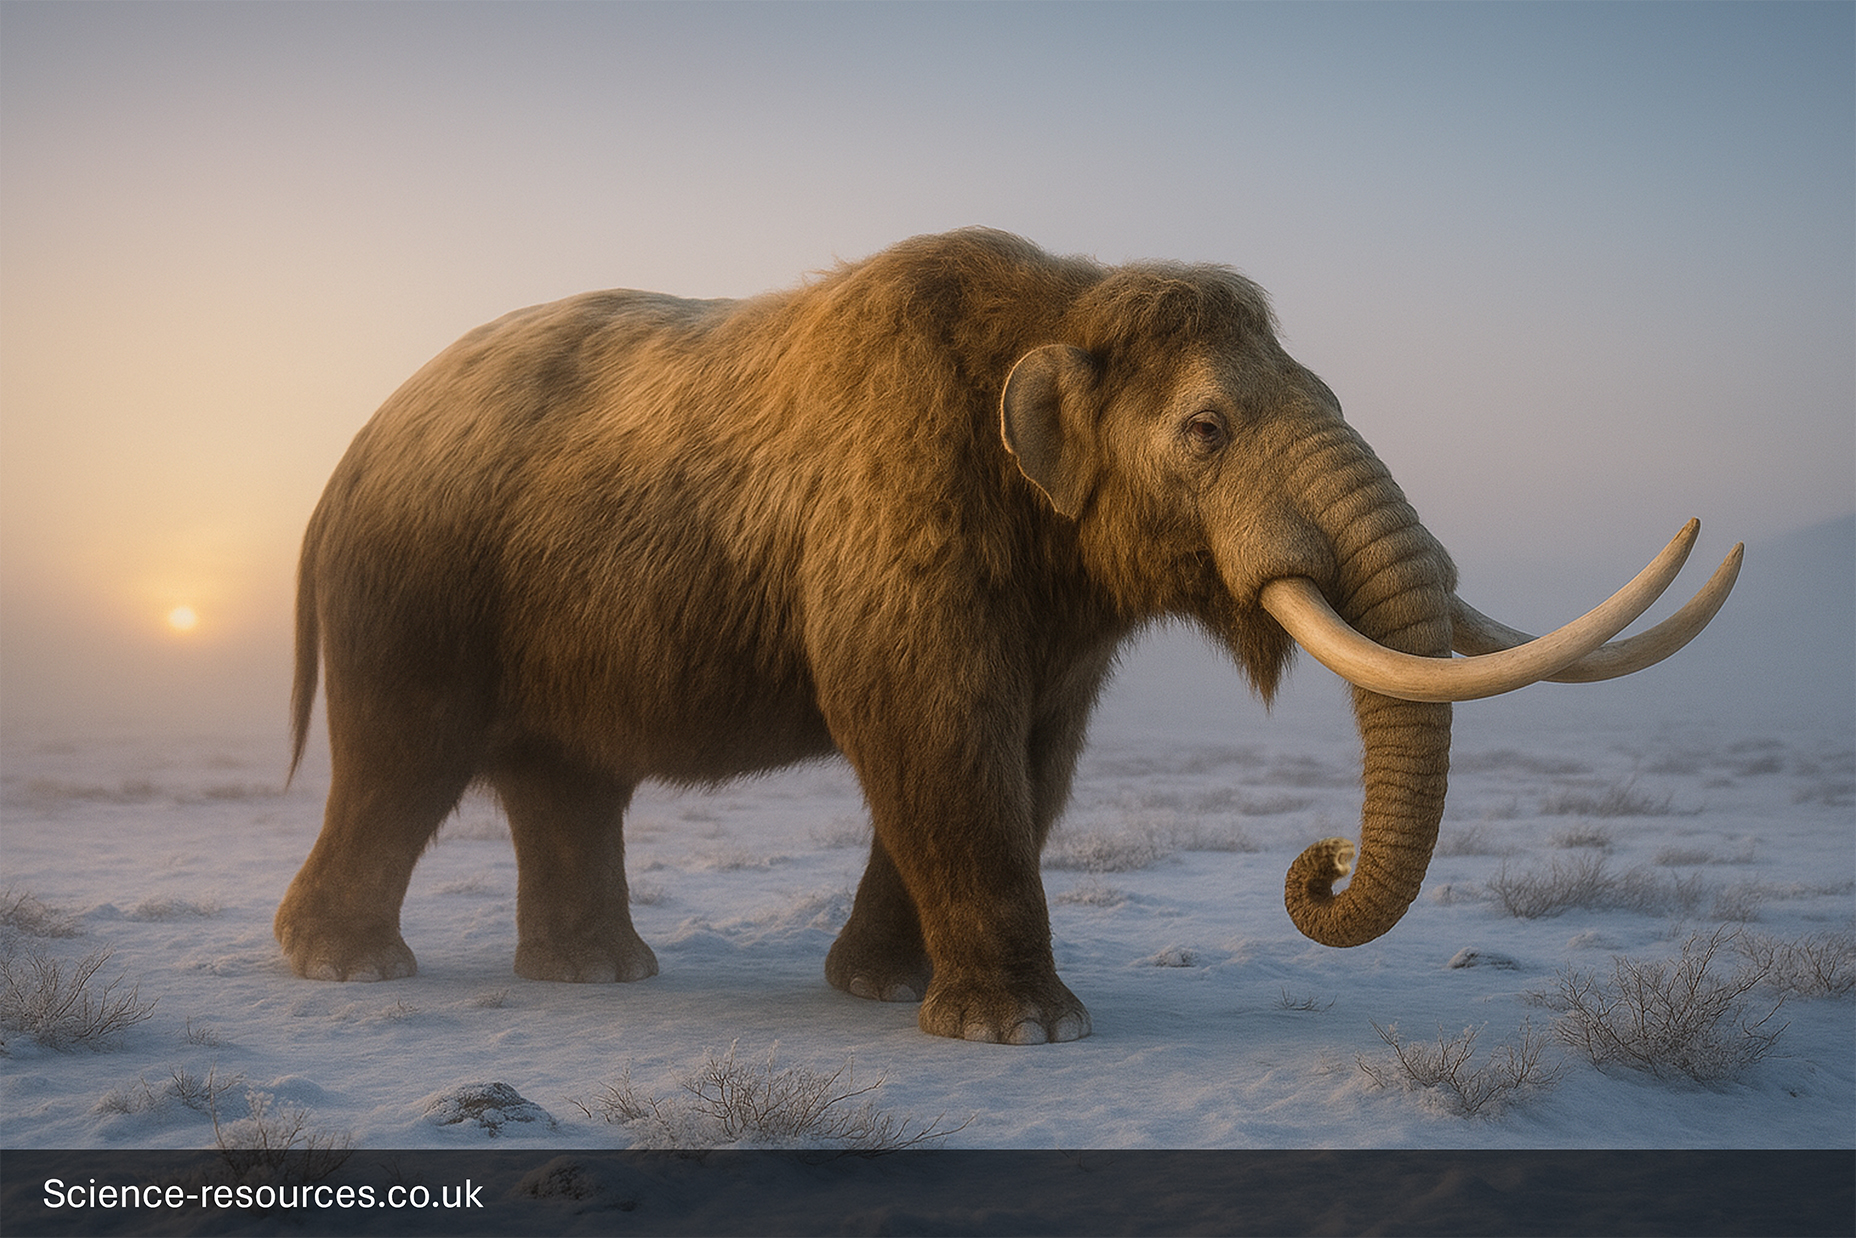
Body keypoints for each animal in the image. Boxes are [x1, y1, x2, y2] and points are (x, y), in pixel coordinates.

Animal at [275, 228, 1740, 1044]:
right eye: (1206, 431)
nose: (1316, 861)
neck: (1064, 302)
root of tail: (340, 461)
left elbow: (1033, 761)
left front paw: (878, 992)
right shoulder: (895, 517)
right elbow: (932, 734)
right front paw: (1024, 1031)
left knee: (560, 780)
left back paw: (598, 973)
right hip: (407, 593)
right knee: (404, 762)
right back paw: (346, 966)